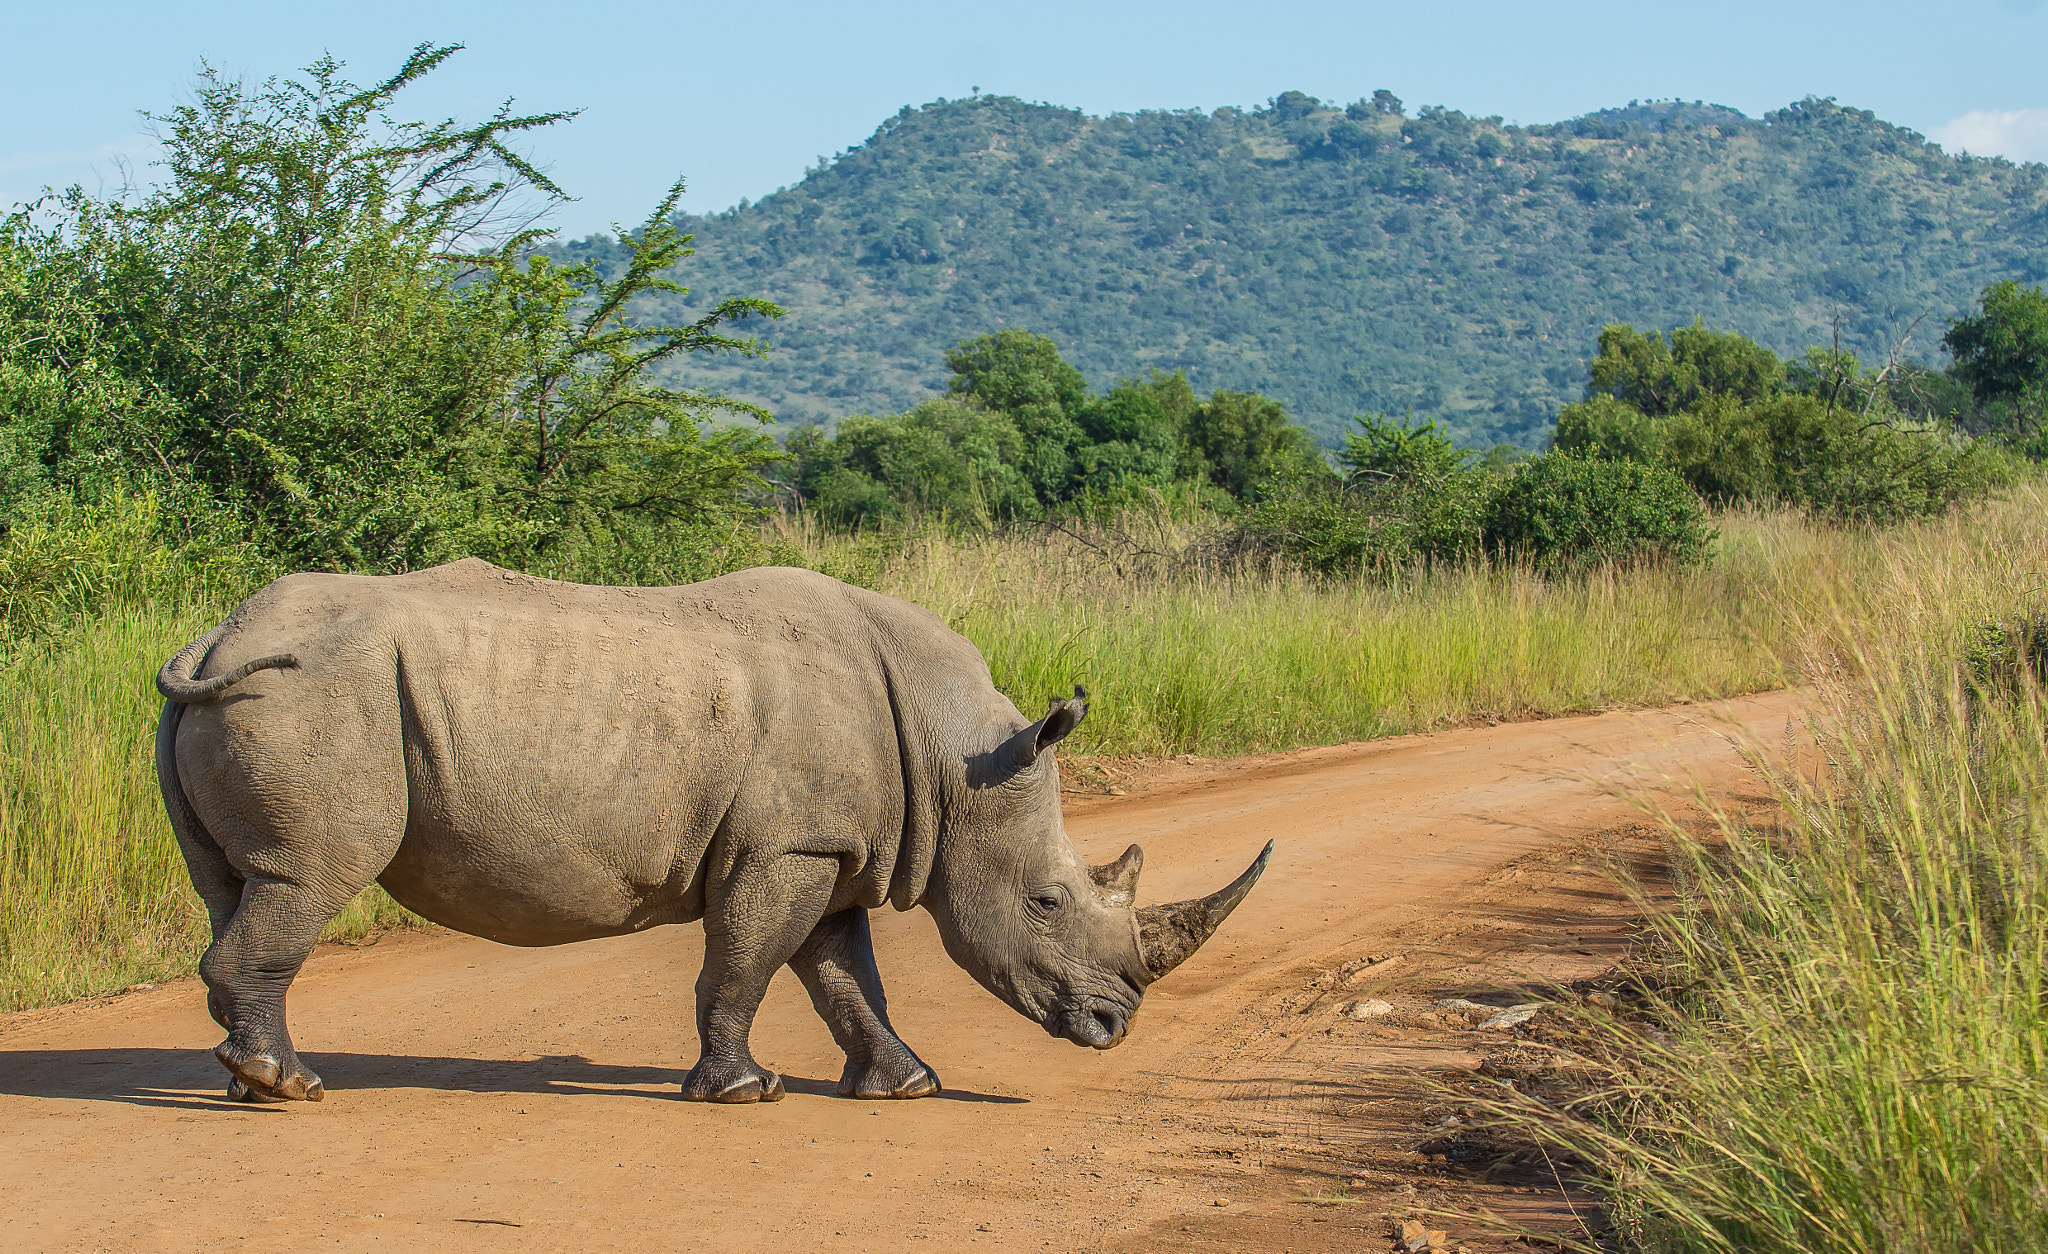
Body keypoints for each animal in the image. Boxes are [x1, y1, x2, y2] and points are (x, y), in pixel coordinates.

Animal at [154, 559, 1270, 1104]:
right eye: (1044, 901)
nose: (1114, 1027)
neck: (955, 756)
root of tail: (211, 639)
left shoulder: (831, 848)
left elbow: (842, 978)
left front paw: (906, 1086)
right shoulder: (786, 848)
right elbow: (745, 963)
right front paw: (743, 1092)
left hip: (245, 698)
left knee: (237, 886)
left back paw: (244, 1079)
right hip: (311, 696)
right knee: (308, 878)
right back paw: (289, 1086)